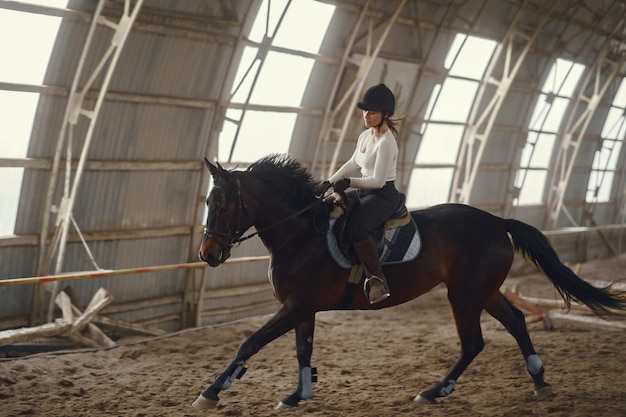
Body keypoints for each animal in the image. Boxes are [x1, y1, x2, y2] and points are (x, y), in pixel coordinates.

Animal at [193, 154, 620, 410]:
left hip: (465, 295)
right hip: (483, 291)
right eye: (209, 203)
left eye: (223, 204)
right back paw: (539, 382)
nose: (208, 254)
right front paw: (298, 395)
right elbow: (303, 350)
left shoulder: (296, 305)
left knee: (474, 342)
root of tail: (498, 222)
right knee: (515, 321)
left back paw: (434, 391)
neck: (300, 234)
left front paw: (211, 392)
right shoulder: (302, 308)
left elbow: (250, 342)